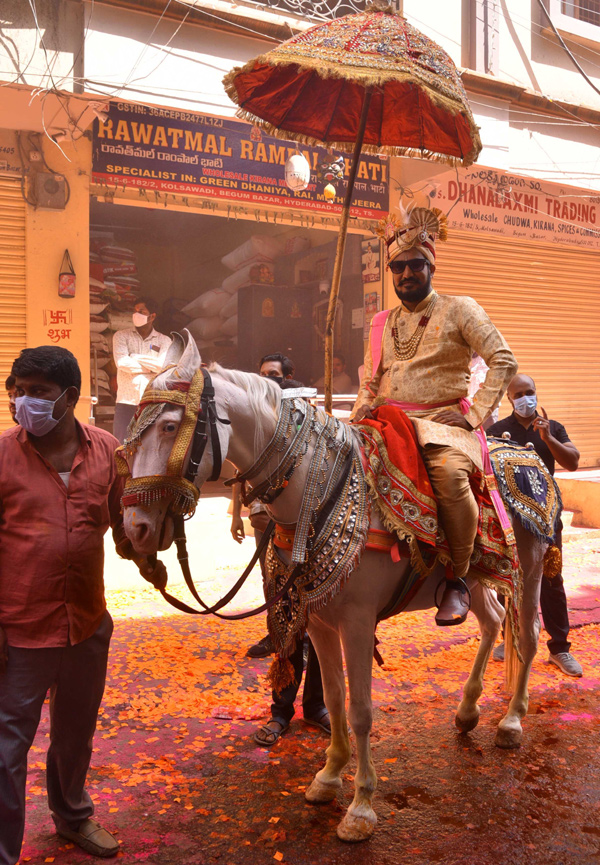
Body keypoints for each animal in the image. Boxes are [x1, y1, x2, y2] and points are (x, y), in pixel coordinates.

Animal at [124, 332, 548, 844]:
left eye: (170, 426)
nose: (135, 529)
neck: (316, 490)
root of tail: (529, 454)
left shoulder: (358, 622)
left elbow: (361, 709)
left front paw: (361, 808)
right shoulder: (321, 620)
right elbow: (333, 696)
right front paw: (327, 779)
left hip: (531, 563)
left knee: (526, 636)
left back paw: (511, 721)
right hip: (484, 574)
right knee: (491, 622)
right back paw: (467, 710)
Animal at [352, 206, 516, 624]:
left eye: (417, 264)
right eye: (399, 266)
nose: (406, 275)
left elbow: (501, 357)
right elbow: (369, 380)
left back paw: (455, 595)